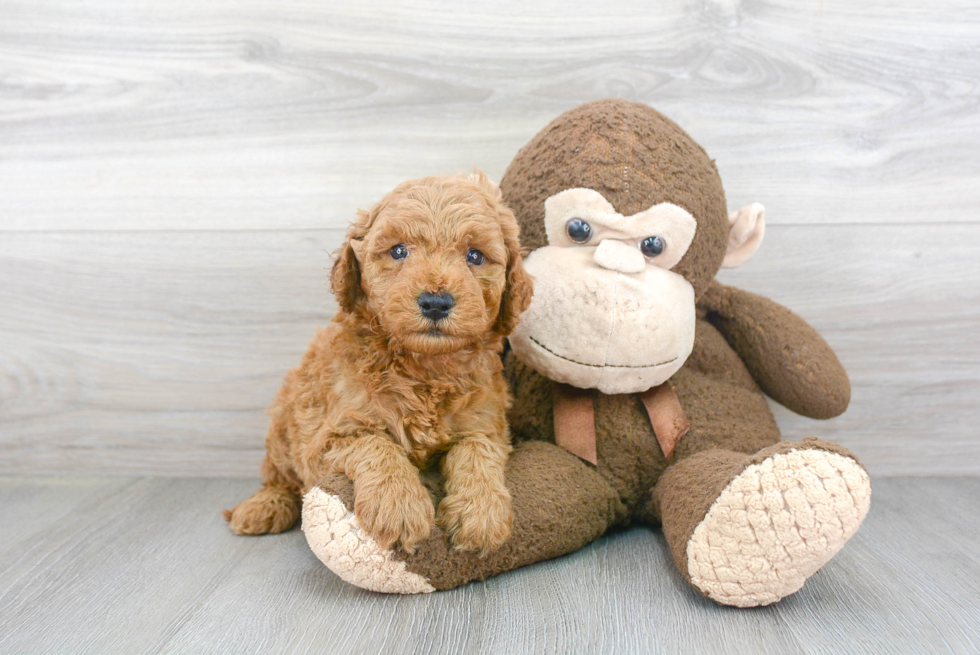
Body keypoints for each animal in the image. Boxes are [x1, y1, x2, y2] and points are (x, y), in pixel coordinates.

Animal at [223, 172, 532, 556]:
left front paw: (481, 513)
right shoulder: (327, 438)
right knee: (279, 476)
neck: (424, 368)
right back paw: (264, 507)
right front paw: (398, 507)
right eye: (398, 250)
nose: (435, 302)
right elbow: (376, 445)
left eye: (475, 256)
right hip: (284, 422)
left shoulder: (486, 424)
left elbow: (477, 451)